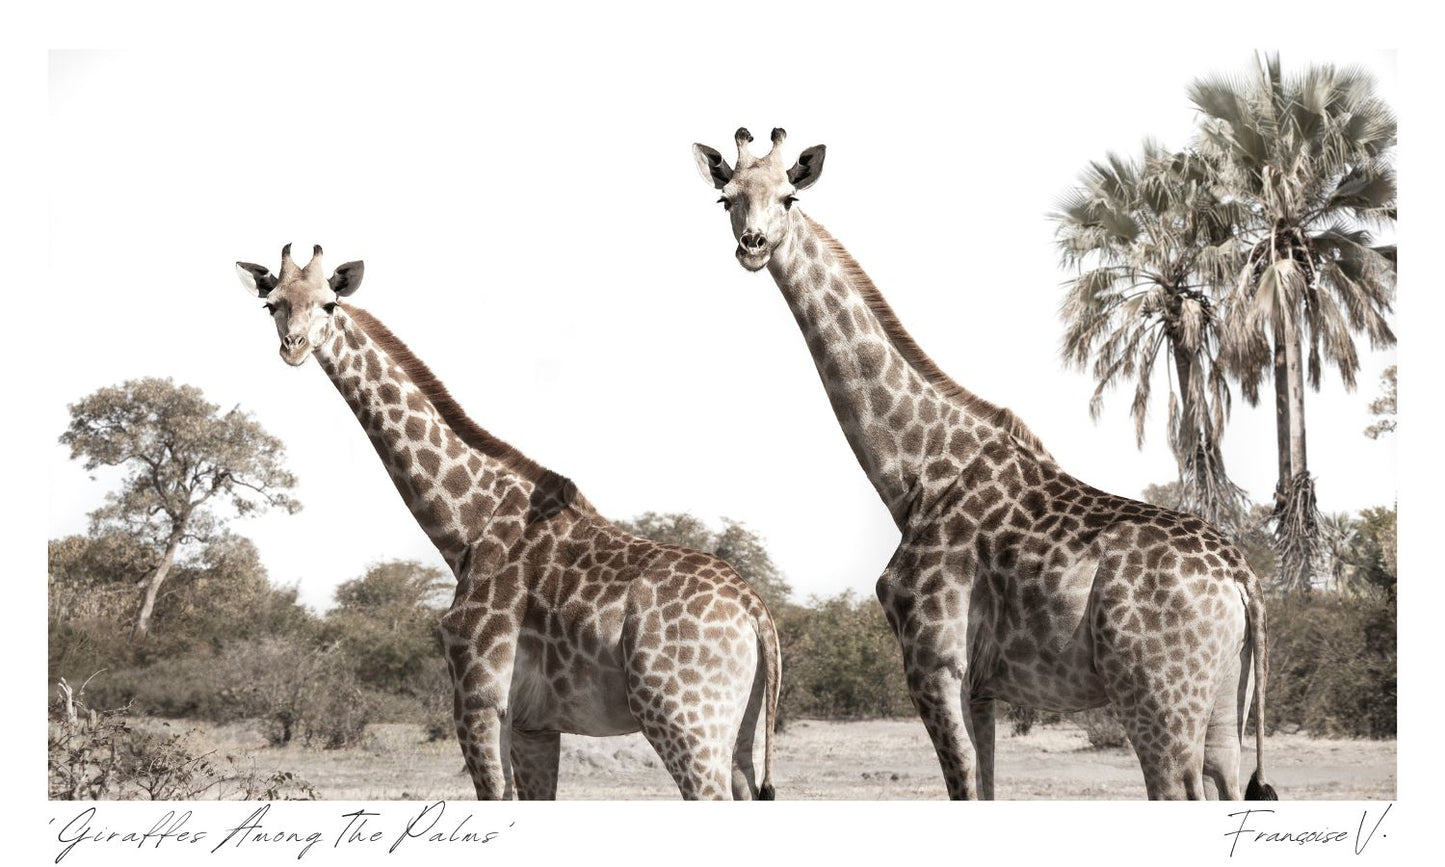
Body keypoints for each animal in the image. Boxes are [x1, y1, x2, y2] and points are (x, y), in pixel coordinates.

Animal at [232, 244, 780, 800]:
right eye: (272, 304)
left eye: (329, 304)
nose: (294, 347)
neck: (465, 530)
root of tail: (757, 612)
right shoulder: (534, 724)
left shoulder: (479, 699)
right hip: (743, 733)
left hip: (685, 721)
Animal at [690, 128, 1277, 801]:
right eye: (727, 198)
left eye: (789, 196)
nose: (753, 245)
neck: (915, 476)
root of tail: (1243, 578)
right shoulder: (981, 685)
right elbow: (988, 784)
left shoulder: (934, 662)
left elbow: (964, 784)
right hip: (1225, 703)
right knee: (1227, 776)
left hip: (1158, 700)